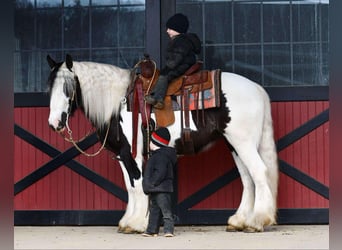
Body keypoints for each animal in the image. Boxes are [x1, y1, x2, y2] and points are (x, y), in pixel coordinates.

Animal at [46, 53, 280, 233]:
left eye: (68, 87)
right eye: (49, 87)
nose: (54, 123)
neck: (119, 102)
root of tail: (257, 88)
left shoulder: (134, 153)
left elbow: (138, 184)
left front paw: (138, 223)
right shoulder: (122, 154)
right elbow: (129, 186)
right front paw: (127, 221)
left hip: (243, 143)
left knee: (258, 172)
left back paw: (257, 221)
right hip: (234, 145)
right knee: (247, 178)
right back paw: (239, 221)